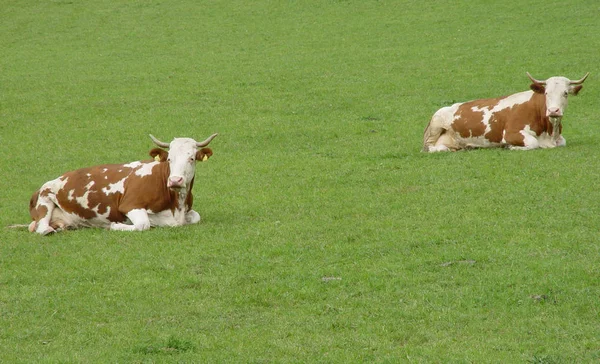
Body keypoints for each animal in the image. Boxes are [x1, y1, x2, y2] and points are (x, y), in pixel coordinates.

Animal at [27, 134, 218, 236]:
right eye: (169, 159)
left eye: (191, 158)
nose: (175, 180)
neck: (176, 202)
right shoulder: (130, 204)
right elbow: (143, 224)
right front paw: (114, 226)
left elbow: (196, 217)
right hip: (46, 197)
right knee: (42, 228)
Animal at [424, 72, 588, 152]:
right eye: (546, 93)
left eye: (565, 93)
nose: (554, 110)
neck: (549, 132)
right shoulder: (511, 133)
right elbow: (533, 143)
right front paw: (510, 147)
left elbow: (562, 142)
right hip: (436, 125)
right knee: (430, 147)